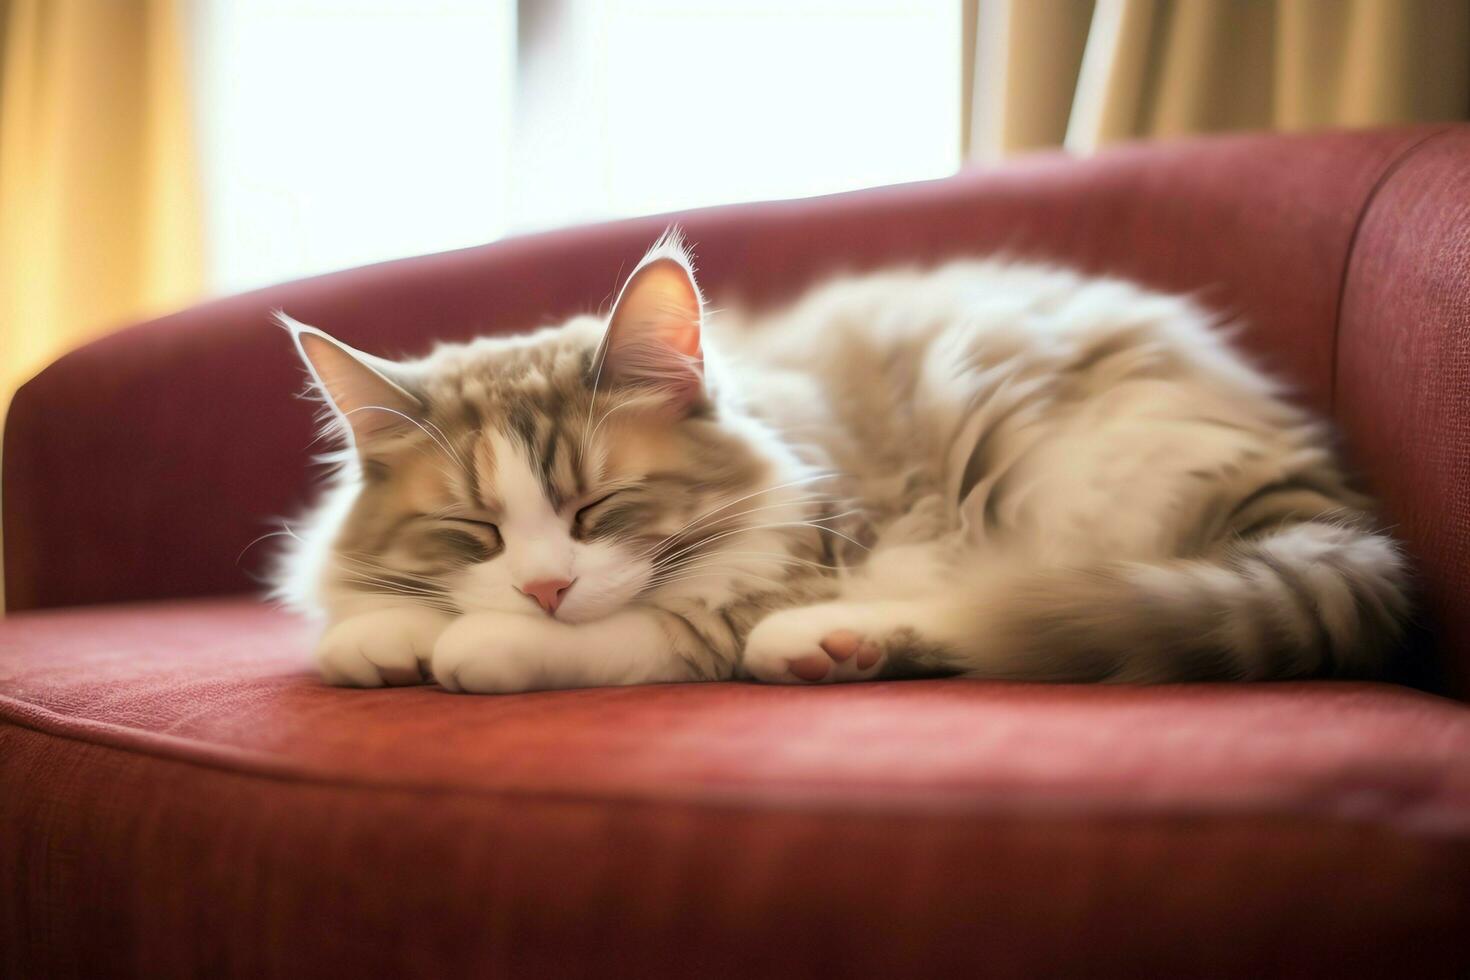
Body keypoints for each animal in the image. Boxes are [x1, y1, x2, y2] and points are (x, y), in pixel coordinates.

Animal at [273, 233, 1411, 693]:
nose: (546, 586)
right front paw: (393, 638)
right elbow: (364, 625)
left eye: (602, 508)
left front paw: (481, 644)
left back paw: (816, 642)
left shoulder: (769, 566)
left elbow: (631, 632)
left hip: (1048, 482)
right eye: (474, 532)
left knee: (1025, 612)